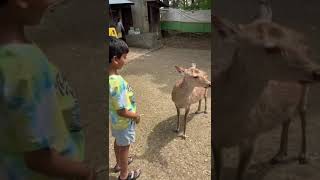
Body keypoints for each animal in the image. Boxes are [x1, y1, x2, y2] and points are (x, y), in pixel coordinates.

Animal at [212, 0, 320, 179]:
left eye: (295, 41)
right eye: (270, 48)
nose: (317, 71)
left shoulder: (251, 138)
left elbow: (240, 174)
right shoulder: (215, 140)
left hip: (306, 87)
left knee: (303, 114)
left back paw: (303, 155)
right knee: (287, 117)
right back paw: (279, 154)